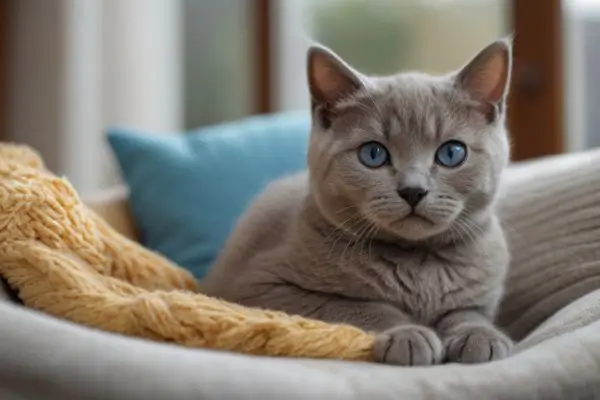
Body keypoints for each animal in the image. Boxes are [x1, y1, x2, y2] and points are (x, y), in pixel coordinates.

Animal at [204, 38, 512, 366]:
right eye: (373, 154)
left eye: (452, 153)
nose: (413, 190)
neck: (416, 262)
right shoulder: (258, 288)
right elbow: (356, 305)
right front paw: (408, 333)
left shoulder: (482, 297)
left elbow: (467, 312)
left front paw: (480, 335)